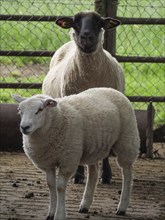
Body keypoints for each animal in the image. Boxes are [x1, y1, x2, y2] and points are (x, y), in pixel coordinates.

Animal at [12, 87, 139, 220]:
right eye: (20, 111)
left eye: (40, 110)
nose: (24, 127)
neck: (59, 118)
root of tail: (111, 89)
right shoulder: (48, 162)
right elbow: (51, 185)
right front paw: (51, 213)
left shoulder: (68, 160)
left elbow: (60, 187)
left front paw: (59, 214)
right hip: (93, 147)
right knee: (93, 173)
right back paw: (85, 205)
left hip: (127, 140)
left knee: (127, 173)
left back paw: (122, 207)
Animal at [42, 11, 125, 185]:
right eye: (75, 22)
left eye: (99, 22)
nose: (86, 36)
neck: (89, 77)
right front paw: (78, 175)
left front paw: (106, 175)